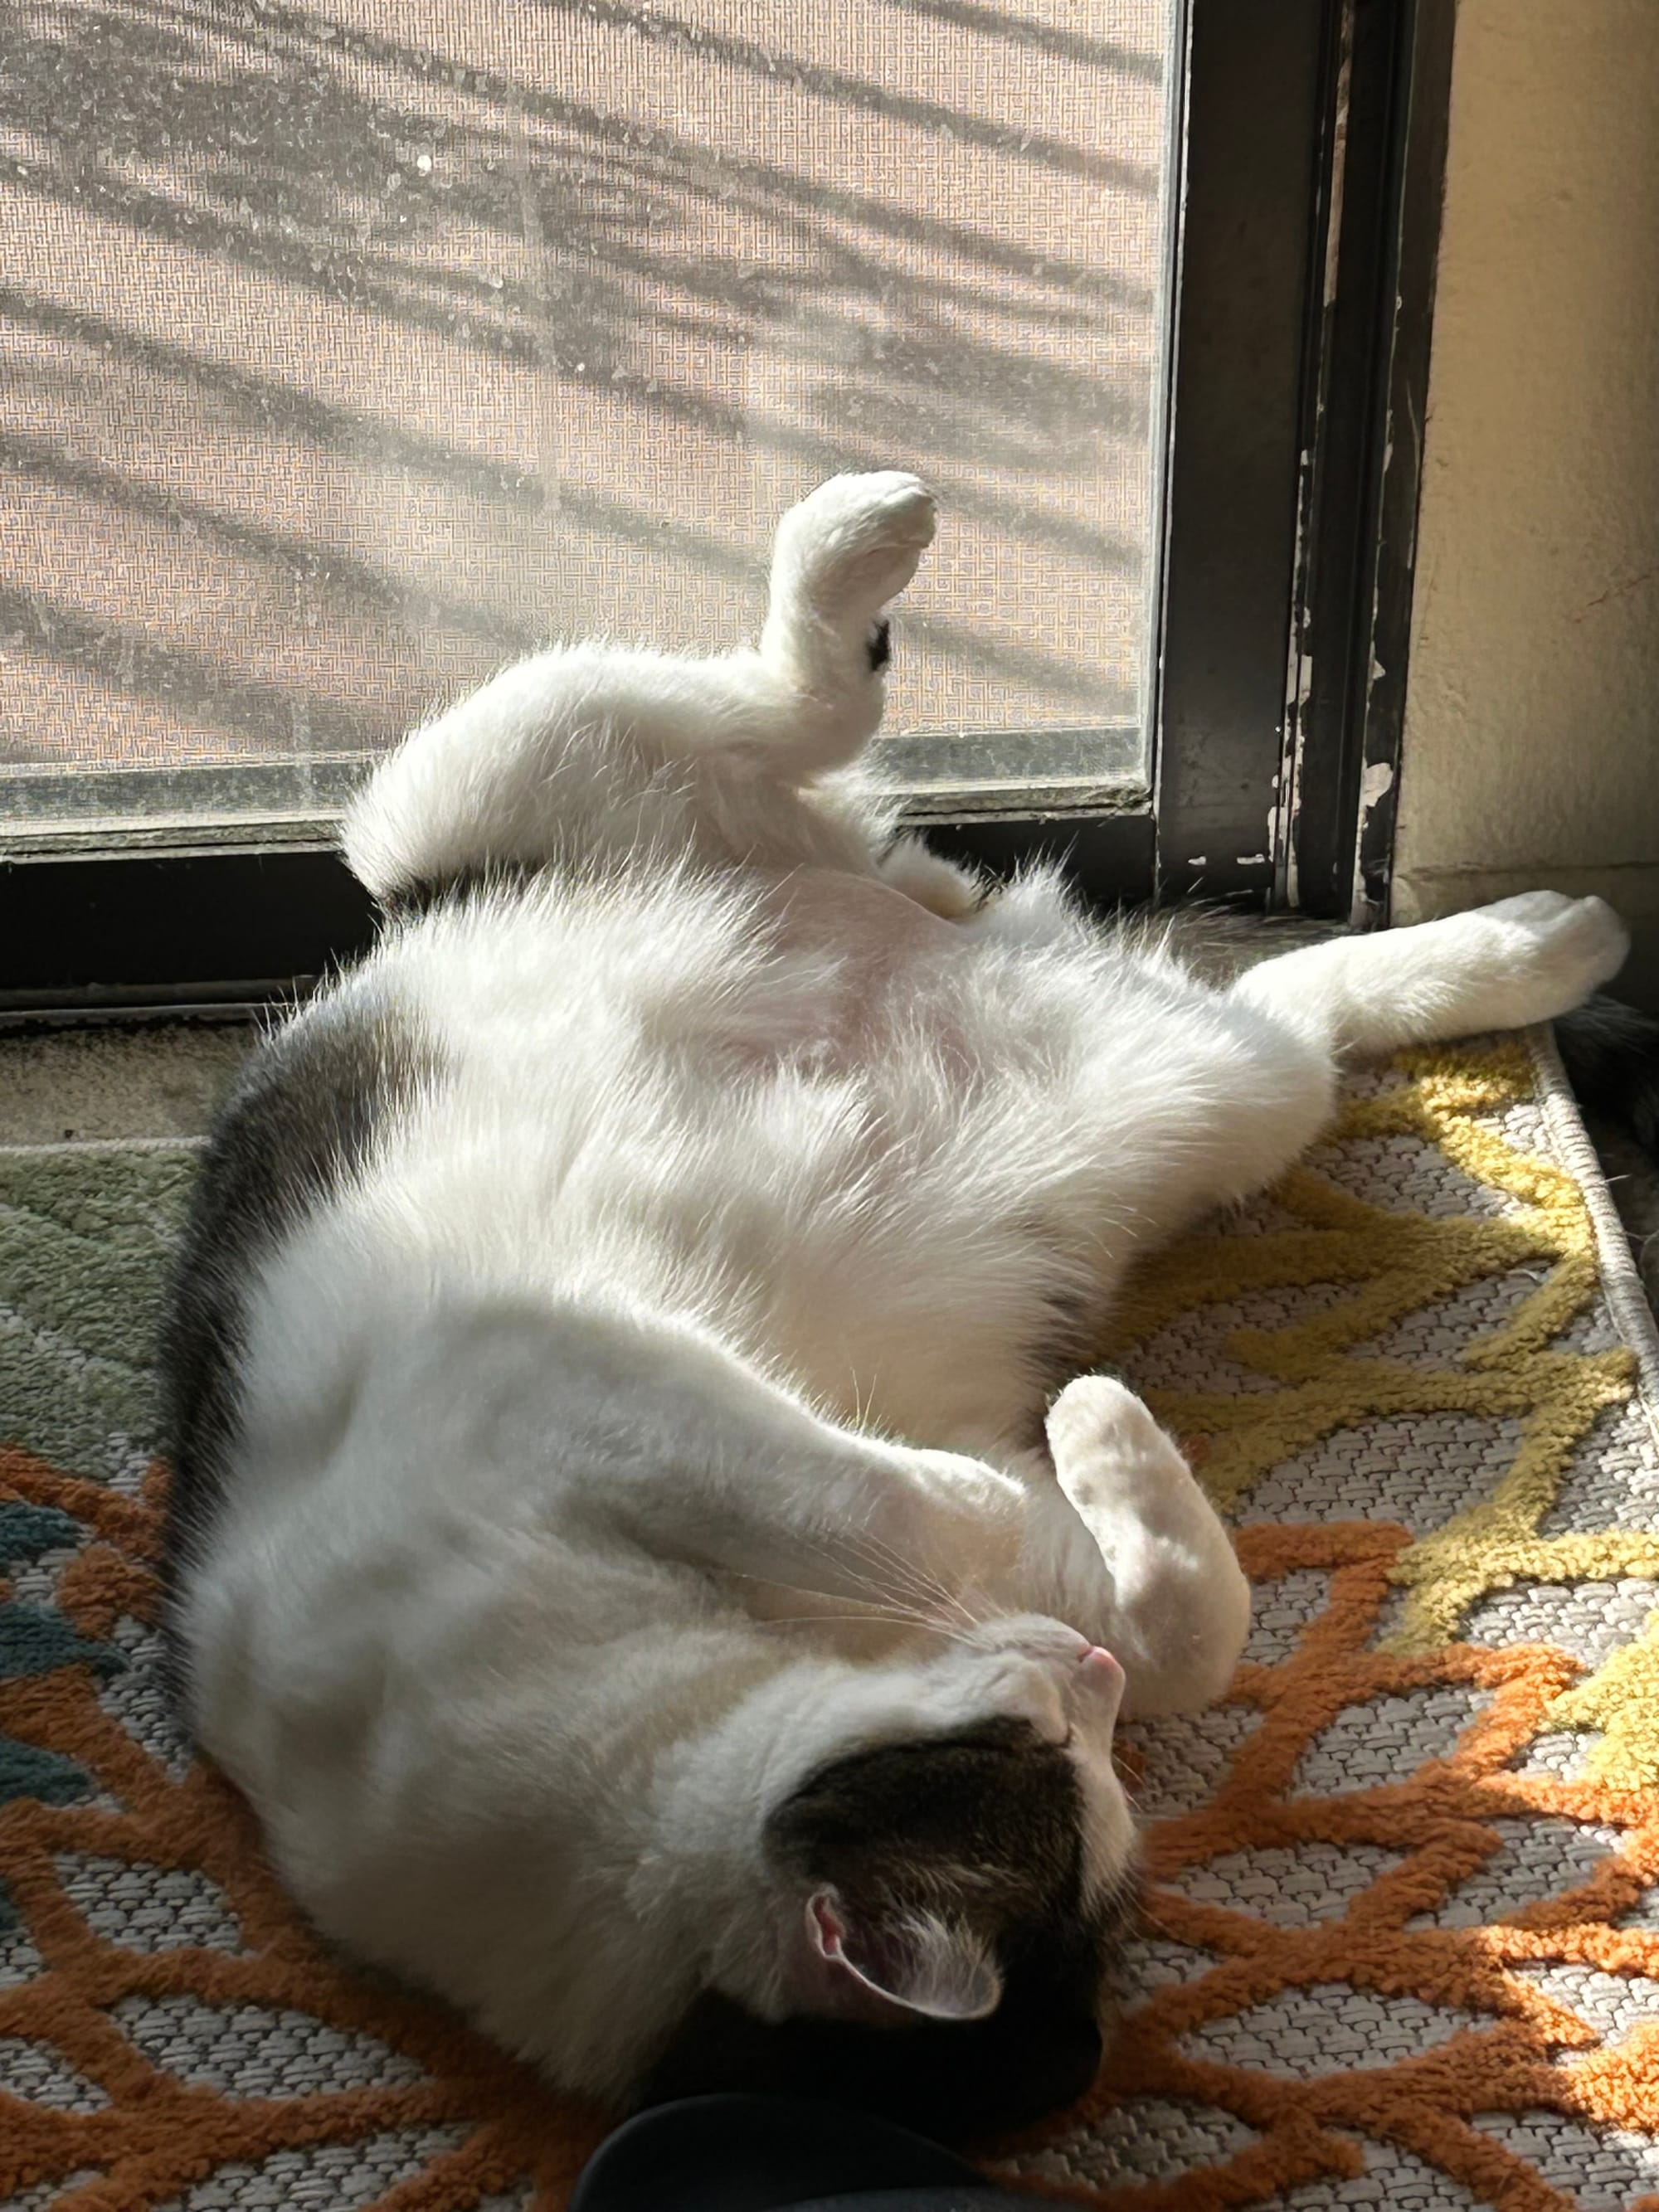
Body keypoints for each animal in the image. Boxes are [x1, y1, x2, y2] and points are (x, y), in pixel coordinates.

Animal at [159, 471, 1637, 2141]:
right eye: (1070, 1761)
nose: (1077, 1671)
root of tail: (921, 920)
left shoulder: (543, 1367)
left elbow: (913, 1508)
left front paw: (1068, 1456)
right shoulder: (637, 1409)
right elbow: (1110, 1589)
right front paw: (1096, 1446)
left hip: (481, 776)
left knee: (783, 698)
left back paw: (866, 532)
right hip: (1213, 1095)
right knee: (1288, 1004)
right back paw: (1540, 944)